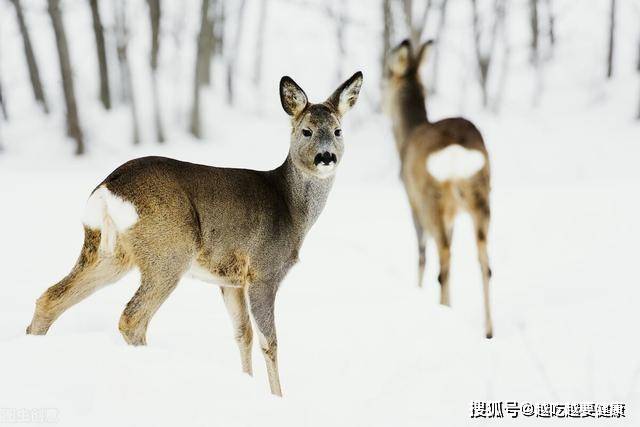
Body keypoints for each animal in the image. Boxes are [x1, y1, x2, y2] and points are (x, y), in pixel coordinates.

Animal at [25, 72, 362, 396]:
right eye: (306, 131)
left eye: (338, 131)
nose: (326, 157)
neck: (291, 209)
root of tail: (108, 187)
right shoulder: (264, 271)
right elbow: (270, 342)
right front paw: (278, 398)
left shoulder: (230, 280)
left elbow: (242, 334)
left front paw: (247, 384)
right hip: (169, 251)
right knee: (132, 318)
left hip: (109, 251)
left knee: (50, 297)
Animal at [382, 41, 492, 342]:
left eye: (386, 75)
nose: (382, 104)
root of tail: (456, 153)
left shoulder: (411, 198)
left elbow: (421, 253)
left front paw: (418, 290)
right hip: (480, 196)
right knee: (484, 262)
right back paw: (488, 331)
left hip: (432, 199)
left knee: (443, 257)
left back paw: (445, 310)